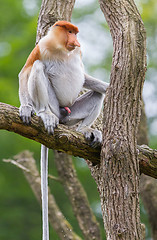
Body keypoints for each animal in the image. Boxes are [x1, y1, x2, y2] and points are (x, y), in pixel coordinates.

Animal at [18, 21, 108, 240]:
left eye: (75, 33)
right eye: (69, 31)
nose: (76, 41)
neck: (61, 49)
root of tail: (62, 116)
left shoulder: (78, 53)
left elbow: (85, 78)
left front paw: (108, 86)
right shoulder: (41, 47)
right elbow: (25, 71)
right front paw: (25, 108)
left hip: (71, 112)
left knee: (97, 94)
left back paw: (85, 129)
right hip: (53, 105)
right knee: (38, 67)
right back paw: (45, 114)